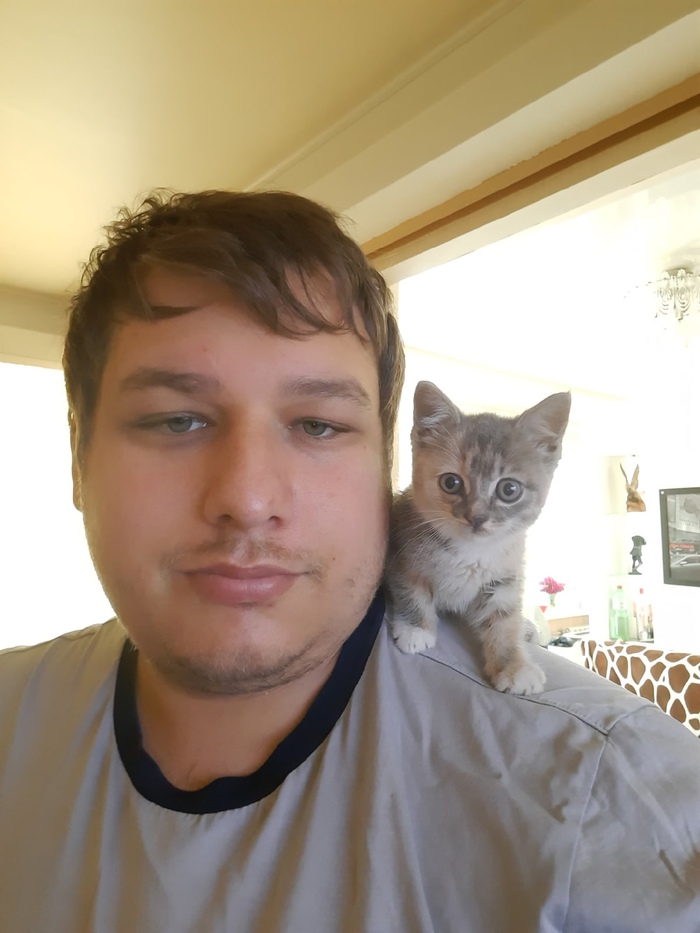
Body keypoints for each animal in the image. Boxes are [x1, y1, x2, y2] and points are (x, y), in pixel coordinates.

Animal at [386, 381, 571, 695]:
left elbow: (504, 620)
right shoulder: (402, 552)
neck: (470, 551)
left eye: (509, 489)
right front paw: (416, 629)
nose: (476, 517)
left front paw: (514, 666)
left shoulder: (505, 579)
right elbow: (411, 590)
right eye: (451, 482)